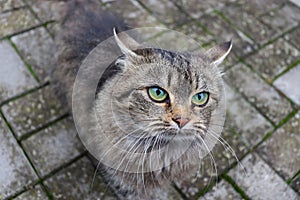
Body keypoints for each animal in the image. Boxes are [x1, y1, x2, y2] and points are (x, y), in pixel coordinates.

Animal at [52, 0, 232, 200]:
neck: (163, 154)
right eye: (157, 93)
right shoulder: (122, 183)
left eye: (200, 97)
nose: (182, 120)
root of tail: (83, 7)